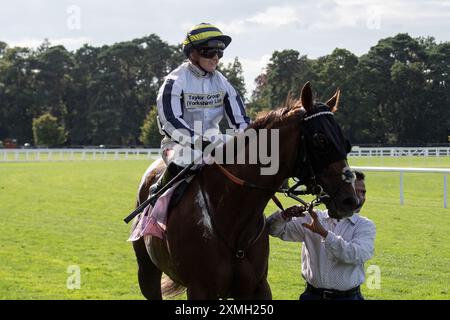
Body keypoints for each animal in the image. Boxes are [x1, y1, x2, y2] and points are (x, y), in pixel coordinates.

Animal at [130, 82, 358, 300]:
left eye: (345, 140)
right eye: (320, 139)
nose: (350, 201)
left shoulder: (257, 287)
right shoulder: (199, 289)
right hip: (147, 272)